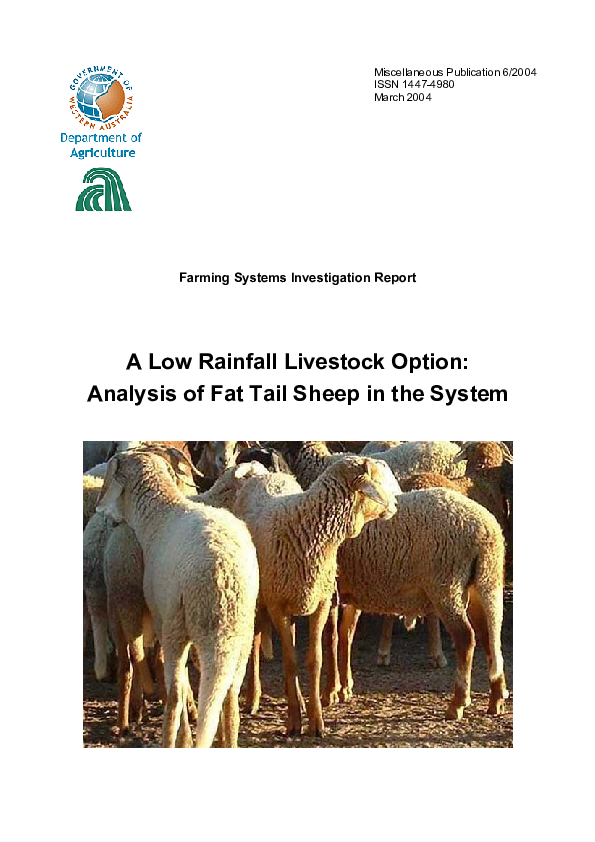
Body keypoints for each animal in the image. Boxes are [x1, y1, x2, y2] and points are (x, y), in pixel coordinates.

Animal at [96, 447, 259, 748]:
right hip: (241, 634)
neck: (160, 513)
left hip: (178, 626)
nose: (105, 516)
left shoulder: (165, 621)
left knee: (173, 695)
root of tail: (225, 579)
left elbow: (177, 685)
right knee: (230, 697)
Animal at [226, 456, 400, 738]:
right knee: (255, 641)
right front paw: (294, 721)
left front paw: (316, 719)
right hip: (260, 597)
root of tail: (261, 472)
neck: (307, 529)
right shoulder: (277, 606)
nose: (395, 505)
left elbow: (313, 660)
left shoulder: (320, 603)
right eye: (380, 479)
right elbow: (289, 662)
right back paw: (253, 697)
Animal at [324, 487, 508, 721]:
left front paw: (330, 693)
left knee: (466, 638)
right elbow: (345, 635)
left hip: (446, 585)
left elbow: (330, 637)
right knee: (489, 637)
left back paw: (457, 704)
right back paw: (496, 700)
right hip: (484, 582)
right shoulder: (351, 593)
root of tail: (487, 529)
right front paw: (345, 688)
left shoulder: (328, 589)